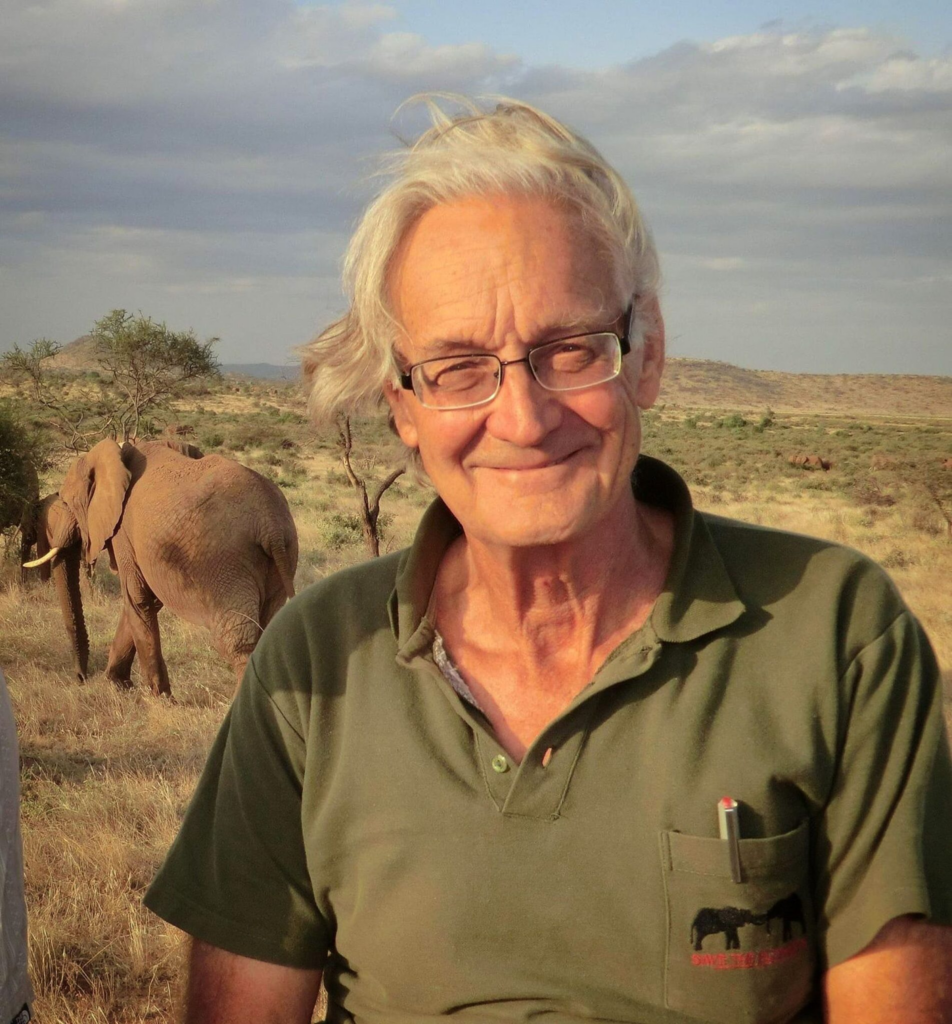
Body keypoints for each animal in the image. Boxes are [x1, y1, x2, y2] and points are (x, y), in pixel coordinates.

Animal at [25, 438, 298, 697]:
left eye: (68, 502)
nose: (81, 678)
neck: (120, 450)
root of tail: (270, 524)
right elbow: (146, 601)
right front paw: (117, 685)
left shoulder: (123, 531)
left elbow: (138, 599)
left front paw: (160, 698)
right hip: (280, 557)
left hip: (226, 562)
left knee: (237, 642)